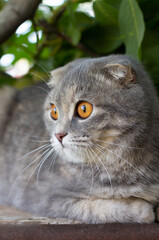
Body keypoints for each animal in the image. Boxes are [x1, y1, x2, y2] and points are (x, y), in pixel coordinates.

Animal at [0, 54, 159, 223]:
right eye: (54, 111)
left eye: (84, 109)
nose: (58, 135)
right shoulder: (44, 198)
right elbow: (102, 208)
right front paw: (143, 209)